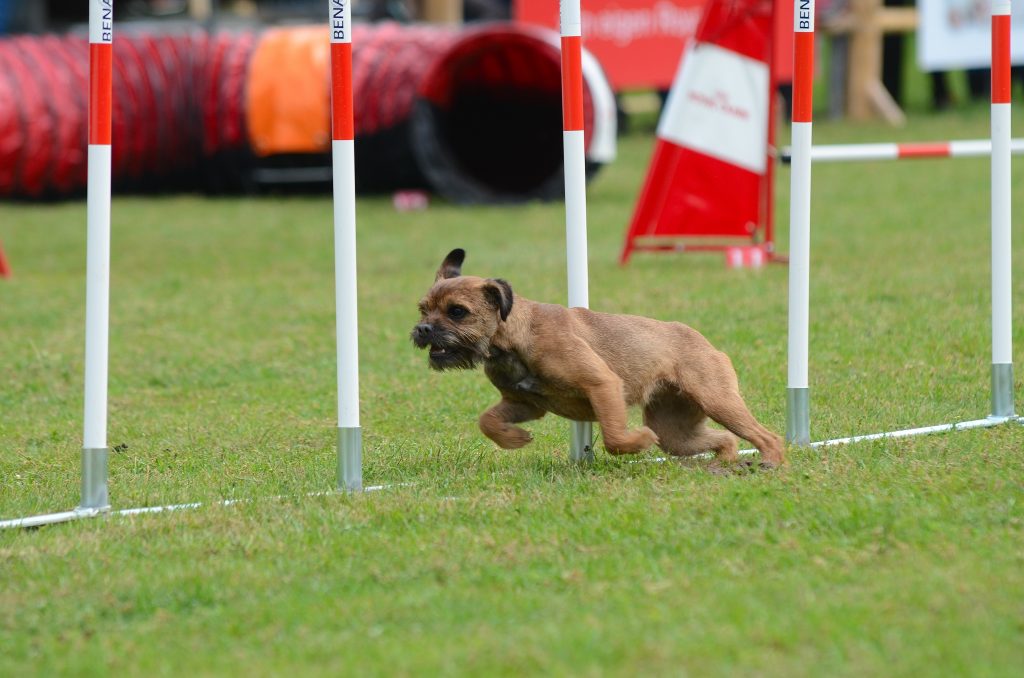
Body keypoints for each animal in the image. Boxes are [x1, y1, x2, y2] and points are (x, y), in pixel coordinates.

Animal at [407, 248, 782, 467]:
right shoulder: (523, 403)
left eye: (457, 312)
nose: (423, 329)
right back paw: (726, 461)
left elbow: (615, 438)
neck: (513, 338)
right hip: (675, 430)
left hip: (718, 401)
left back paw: (772, 464)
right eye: (423, 309)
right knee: (725, 439)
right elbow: (486, 420)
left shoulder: (602, 386)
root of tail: (709, 345)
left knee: (767, 437)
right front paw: (514, 439)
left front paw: (637, 442)